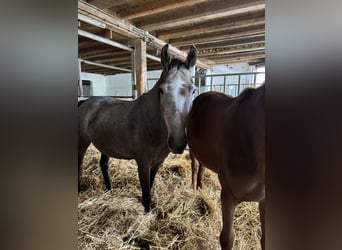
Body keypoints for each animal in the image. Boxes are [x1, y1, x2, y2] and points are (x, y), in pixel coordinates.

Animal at [78, 44, 198, 212]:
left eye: (193, 90)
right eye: (161, 90)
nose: (177, 143)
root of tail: (85, 102)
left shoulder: (157, 162)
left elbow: (150, 186)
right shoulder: (143, 163)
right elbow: (146, 192)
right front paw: (147, 211)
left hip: (105, 144)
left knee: (104, 164)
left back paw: (109, 189)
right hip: (82, 142)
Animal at [186, 85, 266, 249]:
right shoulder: (228, 197)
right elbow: (227, 238)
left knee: (202, 167)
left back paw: (201, 187)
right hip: (192, 149)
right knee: (195, 166)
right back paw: (193, 187)